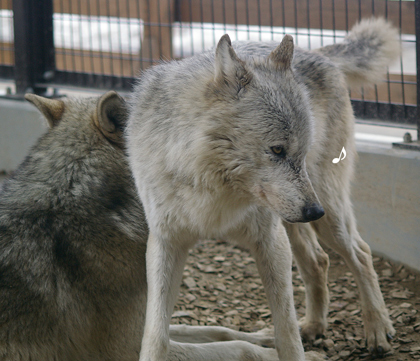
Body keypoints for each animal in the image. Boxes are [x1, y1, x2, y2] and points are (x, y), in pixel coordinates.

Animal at [126, 17, 398, 360]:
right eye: (277, 150)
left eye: (301, 153)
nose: (314, 210)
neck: (210, 186)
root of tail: (317, 51)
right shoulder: (166, 244)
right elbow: (156, 333)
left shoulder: (269, 240)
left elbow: (286, 332)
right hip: (296, 221)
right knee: (319, 260)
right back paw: (315, 326)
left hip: (326, 217)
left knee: (360, 254)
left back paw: (378, 331)